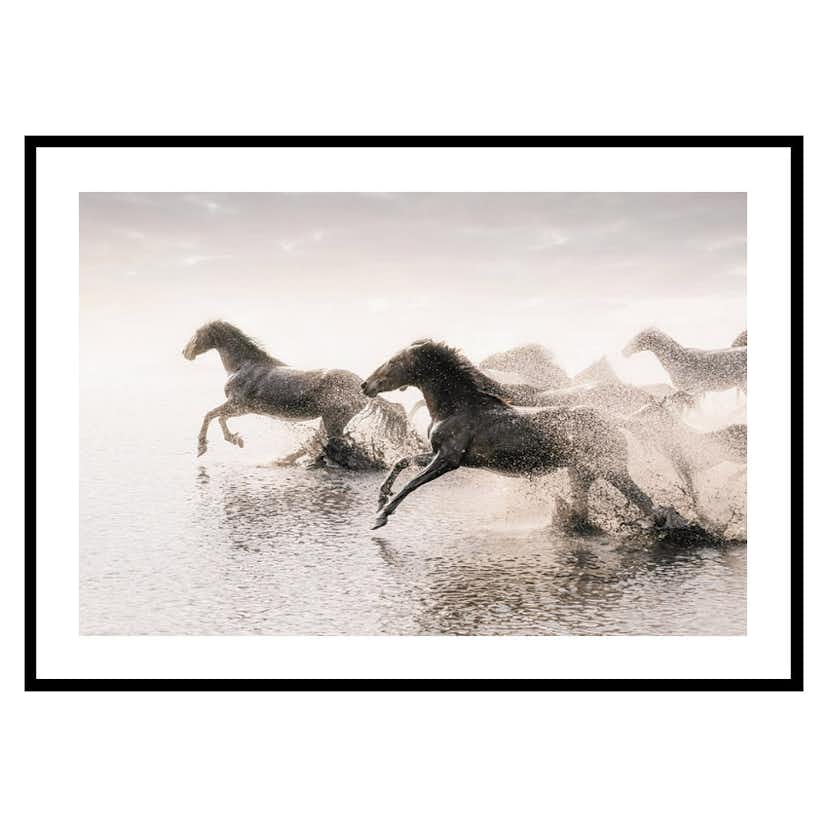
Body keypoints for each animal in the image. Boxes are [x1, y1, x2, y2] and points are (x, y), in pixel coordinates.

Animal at [182, 320, 409, 464]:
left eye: (197, 334)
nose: (185, 353)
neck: (243, 365)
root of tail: (362, 386)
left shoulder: (238, 404)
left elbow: (210, 415)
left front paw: (202, 447)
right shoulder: (243, 408)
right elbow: (219, 418)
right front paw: (236, 439)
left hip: (334, 419)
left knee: (330, 442)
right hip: (329, 418)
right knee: (319, 440)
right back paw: (285, 460)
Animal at [362, 339, 688, 532]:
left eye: (392, 362)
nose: (365, 385)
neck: (456, 406)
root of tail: (614, 420)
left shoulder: (449, 460)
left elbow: (412, 483)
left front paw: (381, 516)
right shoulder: (438, 454)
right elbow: (402, 462)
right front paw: (380, 498)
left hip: (613, 470)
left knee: (650, 505)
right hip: (581, 473)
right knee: (587, 512)